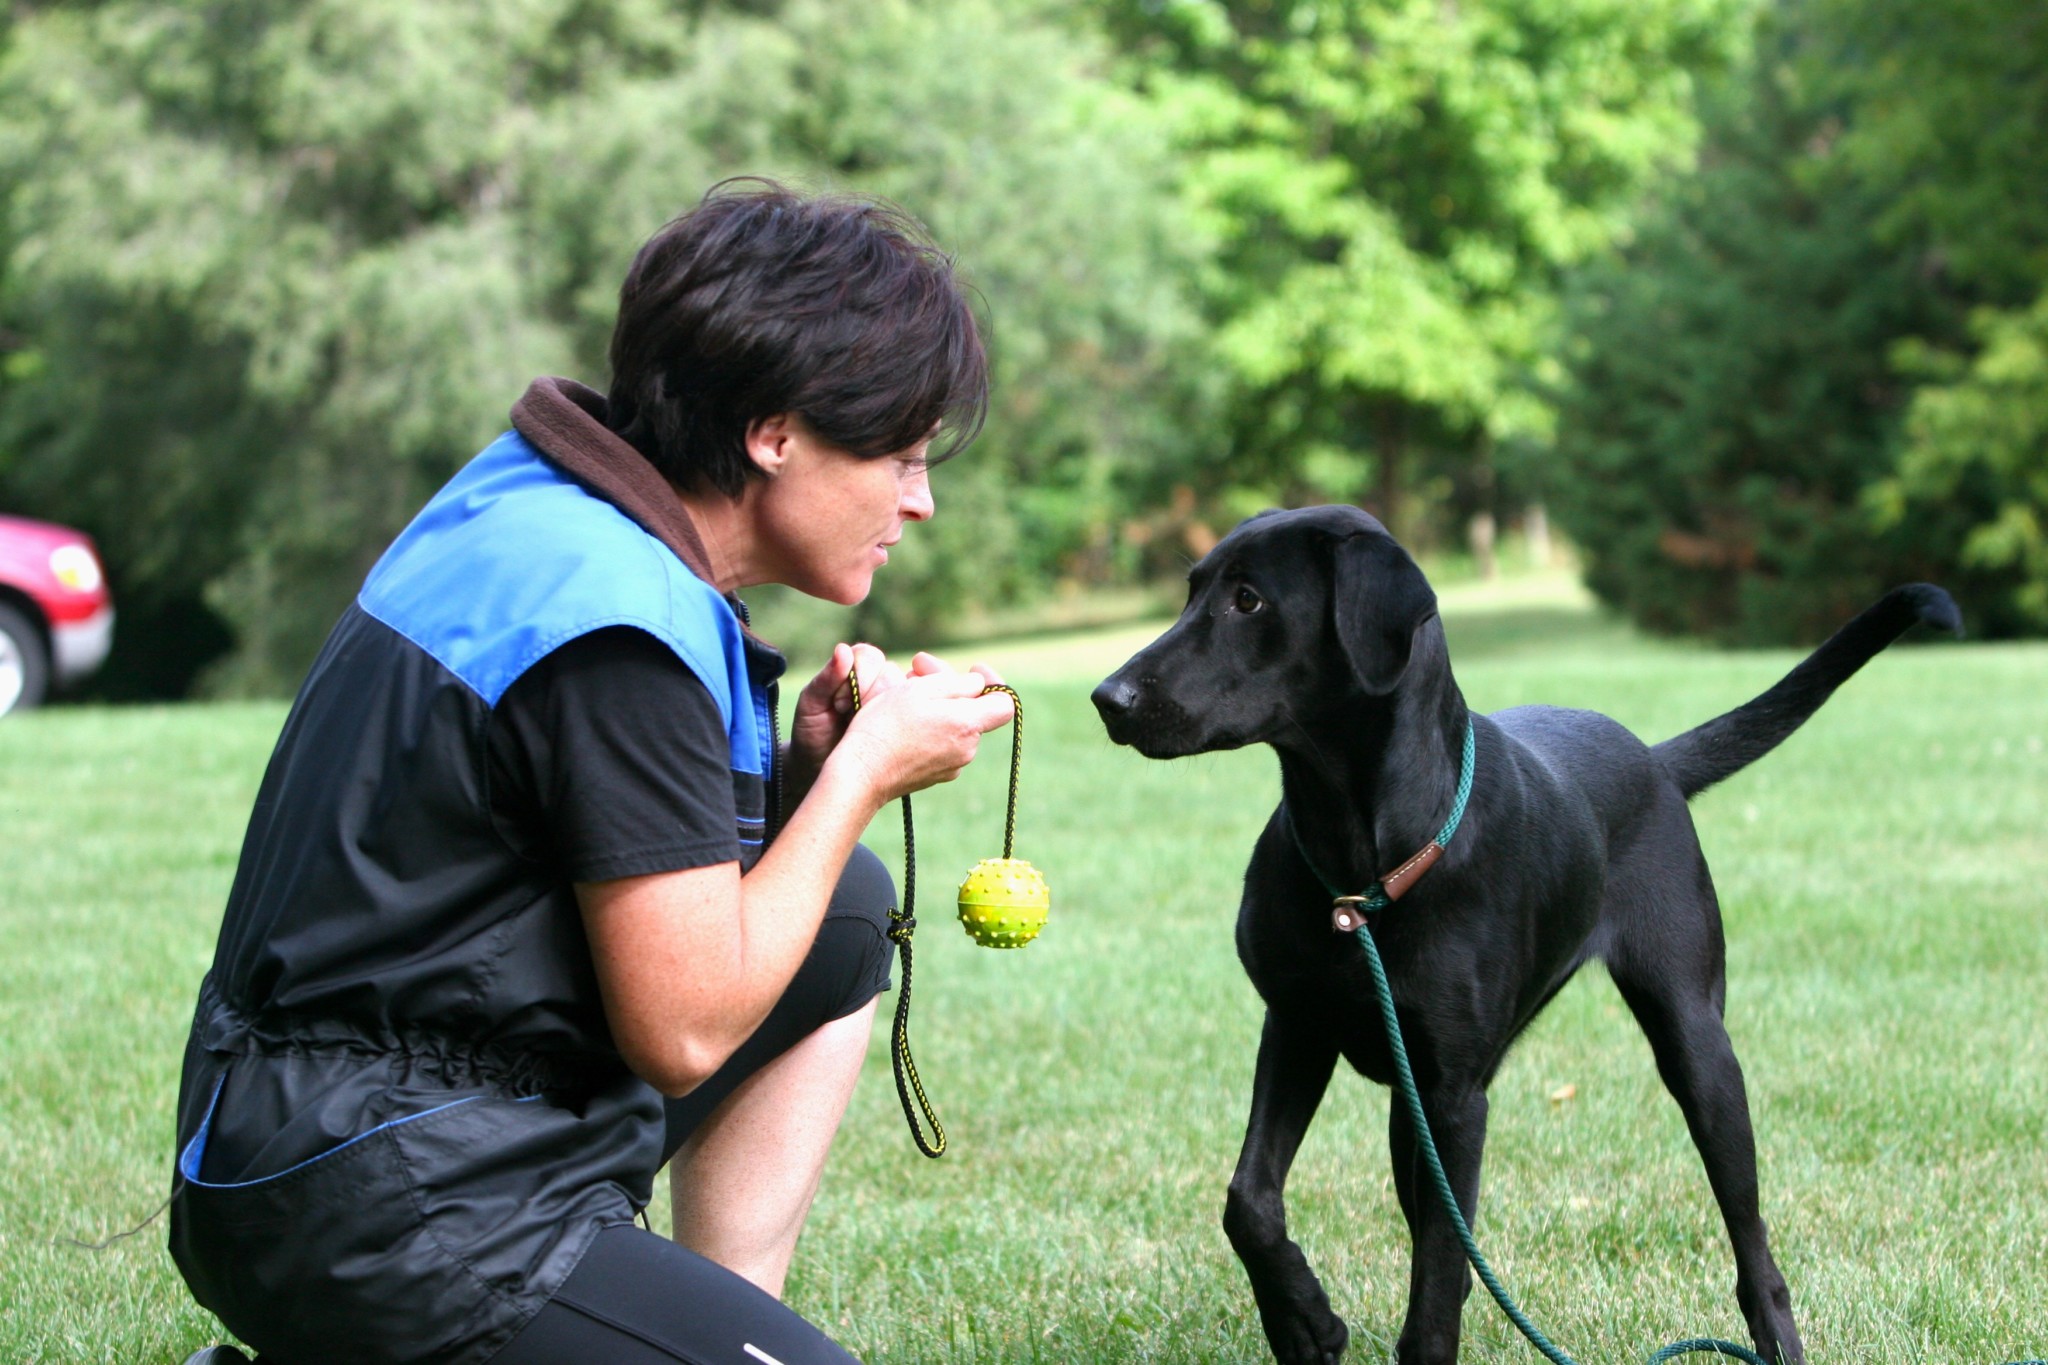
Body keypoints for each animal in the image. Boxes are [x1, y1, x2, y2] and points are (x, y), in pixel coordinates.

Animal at [1089, 509, 1949, 1365]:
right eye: (1193, 589)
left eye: (1249, 600)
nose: (1107, 696)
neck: (1364, 865)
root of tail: (1657, 760)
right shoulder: (1300, 1026)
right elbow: (1251, 1200)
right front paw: (1304, 1320)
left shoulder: (1455, 1096)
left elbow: (1436, 1282)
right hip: (1411, 1110)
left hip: (1698, 1046)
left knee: (1750, 1235)